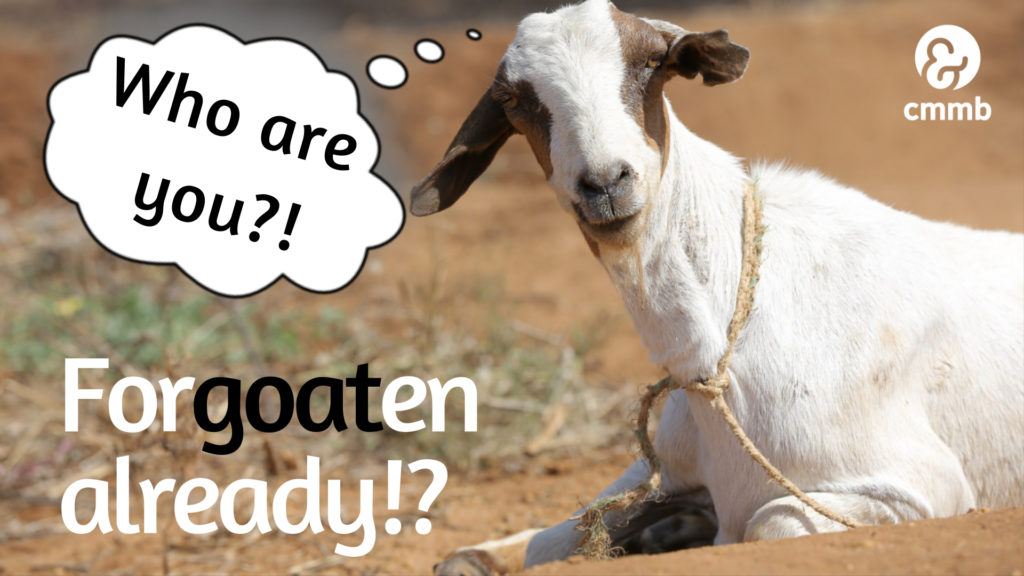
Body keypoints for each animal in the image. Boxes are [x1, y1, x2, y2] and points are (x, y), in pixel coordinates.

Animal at [410, 1, 1024, 573]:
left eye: (652, 63)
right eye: (515, 100)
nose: (605, 183)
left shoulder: (920, 487)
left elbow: (768, 523)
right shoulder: (668, 463)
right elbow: (562, 534)